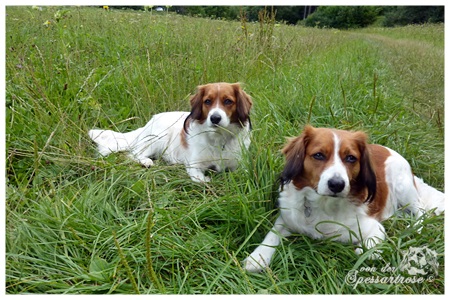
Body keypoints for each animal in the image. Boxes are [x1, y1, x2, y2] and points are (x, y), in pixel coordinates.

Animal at [88, 81, 253, 182]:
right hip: (159, 137)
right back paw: (147, 161)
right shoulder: (194, 165)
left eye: (228, 101)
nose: (215, 118)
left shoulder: (240, 165)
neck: (218, 138)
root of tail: (151, 120)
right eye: (207, 101)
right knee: (134, 154)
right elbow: (202, 180)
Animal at [244, 124, 444, 272]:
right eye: (318, 155)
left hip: (403, 185)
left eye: (350, 158)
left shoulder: (373, 227)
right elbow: (273, 234)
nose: (337, 184)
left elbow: (371, 246)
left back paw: (413, 228)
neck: (323, 204)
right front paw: (257, 257)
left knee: (422, 212)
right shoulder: (288, 217)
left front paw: (365, 251)